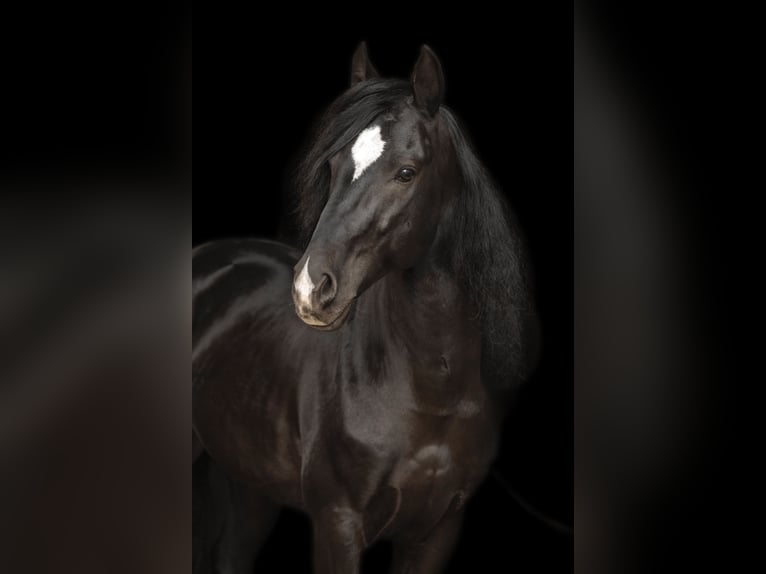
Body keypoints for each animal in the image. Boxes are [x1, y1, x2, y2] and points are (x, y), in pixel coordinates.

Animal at [193, 43, 536, 574]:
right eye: (334, 166)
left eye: (406, 172)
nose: (310, 288)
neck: (429, 391)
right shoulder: (337, 523)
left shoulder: (436, 533)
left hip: (248, 484)